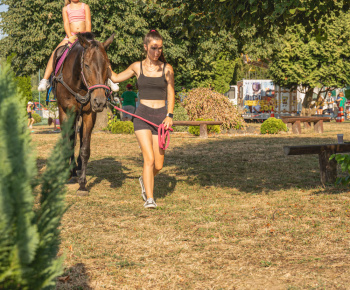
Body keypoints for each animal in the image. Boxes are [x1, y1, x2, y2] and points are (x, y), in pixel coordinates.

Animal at [53, 32, 113, 195]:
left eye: (107, 66)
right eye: (86, 65)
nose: (99, 101)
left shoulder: (88, 114)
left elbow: (85, 148)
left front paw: (82, 184)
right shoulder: (66, 112)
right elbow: (68, 143)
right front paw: (69, 174)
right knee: (70, 138)